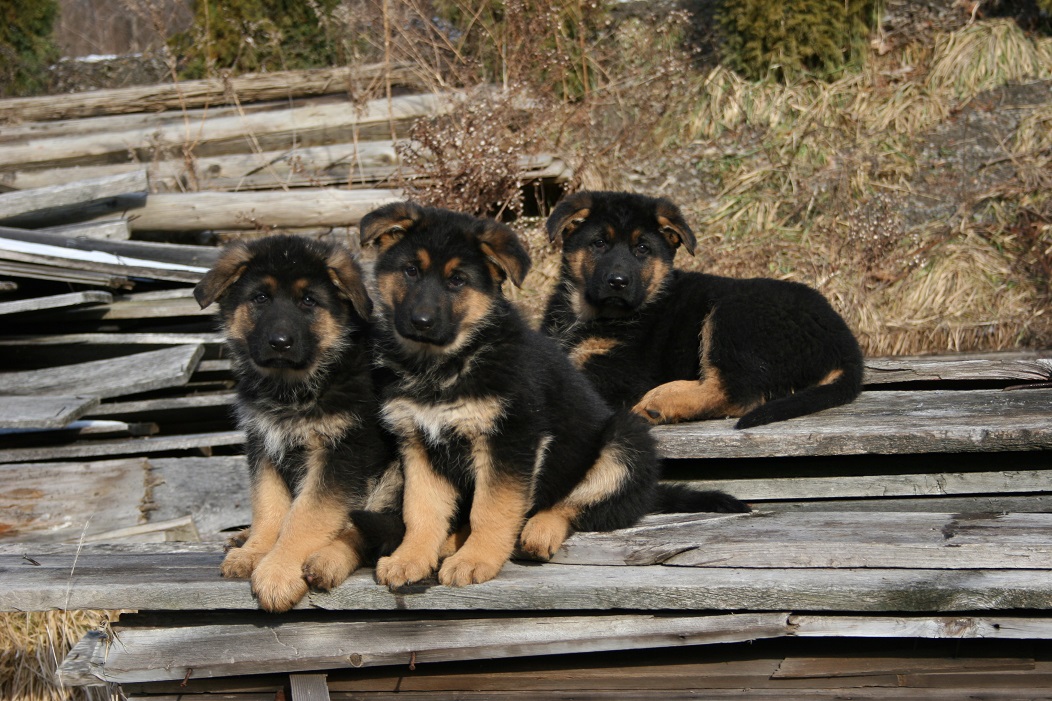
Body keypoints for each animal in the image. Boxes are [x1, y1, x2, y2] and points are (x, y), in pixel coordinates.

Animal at [191, 233, 399, 606]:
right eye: (260, 297)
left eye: (308, 301)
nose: (280, 343)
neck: (290, 389)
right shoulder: (263, 443)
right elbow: (269, 505)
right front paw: (256, 550)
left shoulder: (341, 451)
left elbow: (306, 515)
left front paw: (279, 571)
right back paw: (242, 539)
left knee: (369, 531)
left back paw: (326, 561)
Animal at [361, 203, 749, 589]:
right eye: (411, 271)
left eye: (457, 280)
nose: (421, 322)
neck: (446, 364)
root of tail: (650, 493)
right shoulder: (418, 443)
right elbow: (421, 510)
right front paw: (410, 558)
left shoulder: (511, 440)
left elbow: (492, 508)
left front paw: (476, 559)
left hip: (625, 439)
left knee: (578, 503)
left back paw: (538, 529)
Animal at [542, 192, 862, 431]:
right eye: (598, 243)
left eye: (642, 249)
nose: (618, 282)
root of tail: (845, 343)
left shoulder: (621, 373)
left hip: (734, 314)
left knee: (736, 393)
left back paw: (661, 402)